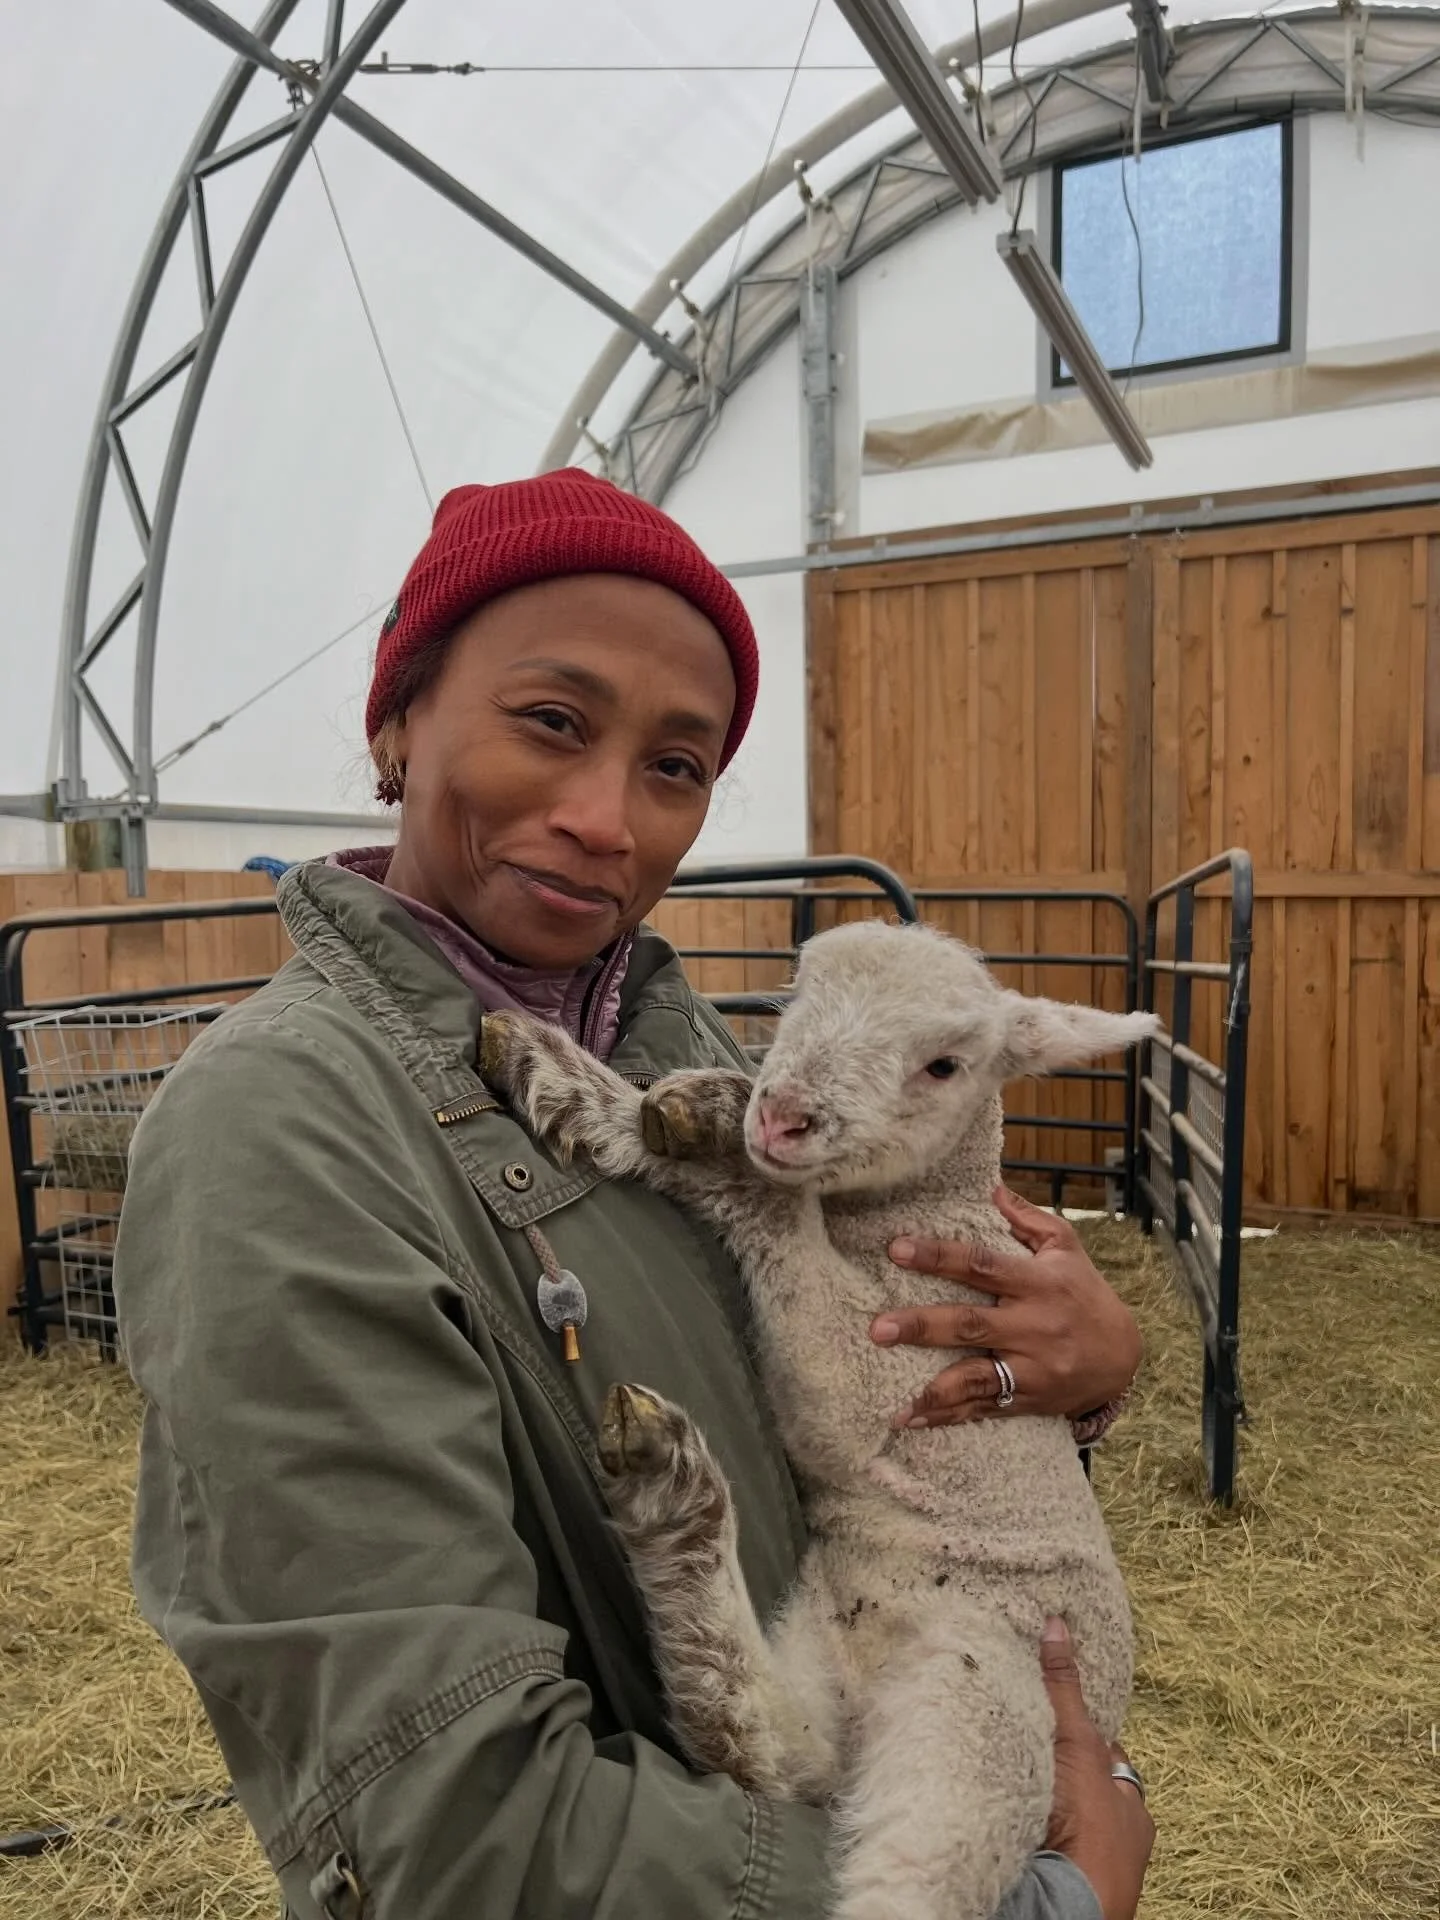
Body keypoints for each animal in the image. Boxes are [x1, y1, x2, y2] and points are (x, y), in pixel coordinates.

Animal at [480, 918, 1159, 1920]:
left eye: (944, 1065)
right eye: (797, 996)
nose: (782, 1113)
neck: (916, 1219)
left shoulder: (892, 1378)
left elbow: (770, 1207)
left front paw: (667, 1116)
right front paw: (583, 1079)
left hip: (980, 1713)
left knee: (898, 1882)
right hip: (823, 1641)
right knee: (774, 1757)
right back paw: (675, 1504)